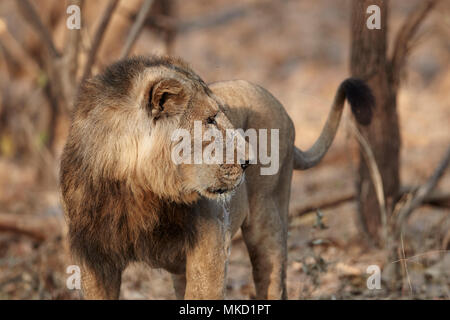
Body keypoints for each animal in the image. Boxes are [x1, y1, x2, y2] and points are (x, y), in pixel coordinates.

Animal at [59, 55, 372, 300]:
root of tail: (275, 100)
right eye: (209, 120)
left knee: (272, 279)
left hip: (267, 218)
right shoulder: (93, 256)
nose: (249, 161)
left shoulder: (209, 241)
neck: (137, 190)